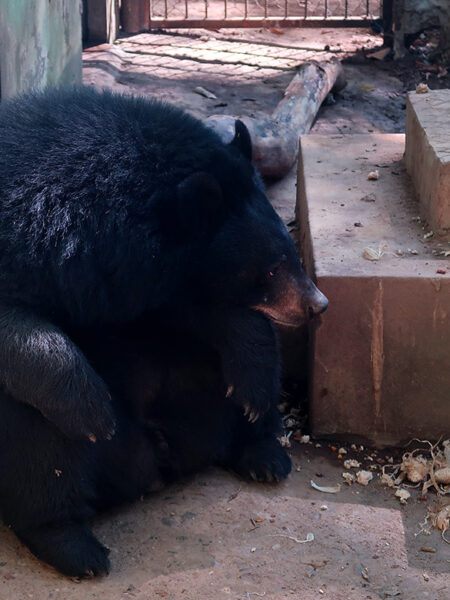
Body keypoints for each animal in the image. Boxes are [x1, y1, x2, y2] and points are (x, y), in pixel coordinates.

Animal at [0, 88, 328, 576]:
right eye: (270, 268)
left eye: (290, 251)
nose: (317, 305)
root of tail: (155, 468)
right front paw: (92, 409)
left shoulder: (147, 281)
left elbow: (207, 315)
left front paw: (251, 378)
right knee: (35, 447)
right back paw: (74, 546)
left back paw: (262, 451)